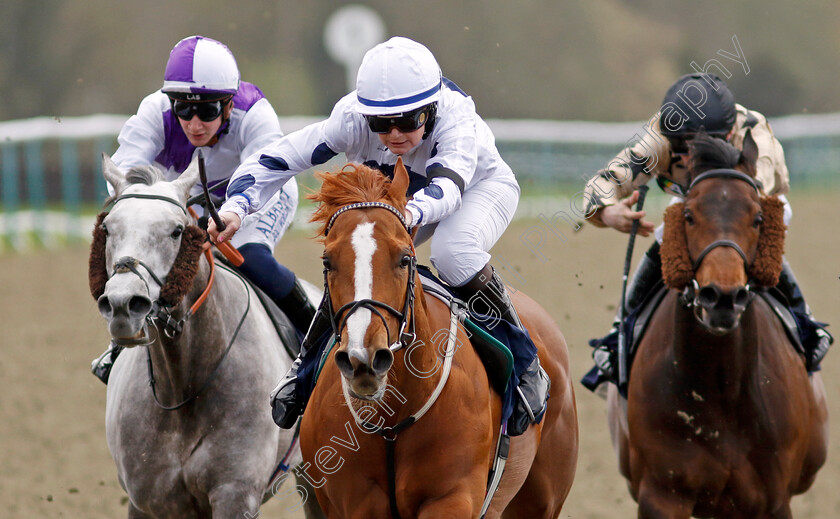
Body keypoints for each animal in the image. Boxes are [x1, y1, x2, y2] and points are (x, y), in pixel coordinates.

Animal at [89, 155, 324, 519]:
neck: (182, 387)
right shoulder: (147, 499)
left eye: (176, 230)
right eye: (108, 228)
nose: (123, 304)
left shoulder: (235, 494)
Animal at [296, 159, 576, 519]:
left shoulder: (451, 498)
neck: (393, 419)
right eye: (328, 261)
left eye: (404, 258)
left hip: (542, 499)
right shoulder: (355, 502)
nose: (364, 358)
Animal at [608, 135, 832, 519]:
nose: (722, 298)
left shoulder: (773, 500)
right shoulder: (661, 495)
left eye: (758, 217)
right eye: (688, 215)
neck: (722, 387)